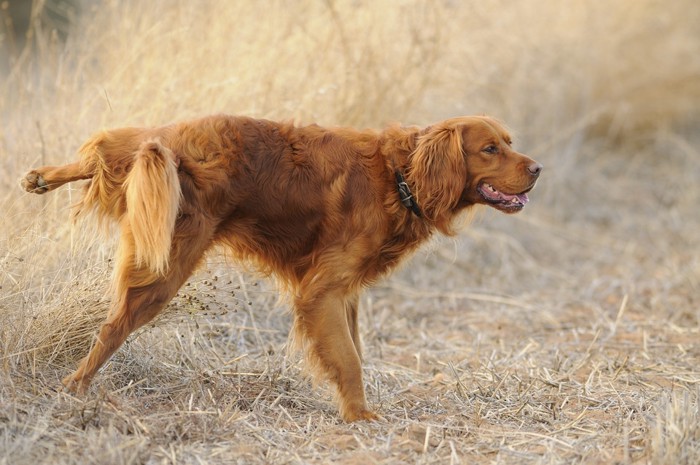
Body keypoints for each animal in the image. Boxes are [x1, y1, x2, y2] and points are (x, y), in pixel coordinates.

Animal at [20, 113, 540, 420]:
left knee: (112, 148)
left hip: (152, 172)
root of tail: (173, 145)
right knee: (111, 329)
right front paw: (360, 417)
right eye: (490, 149)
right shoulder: (322, 291)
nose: (537, 169)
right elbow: (349, 360)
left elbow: (353, 351)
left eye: (510, 142)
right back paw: (74, 386)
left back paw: (43, 176)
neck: (400, 176)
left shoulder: (345, 295)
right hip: (165, 269)